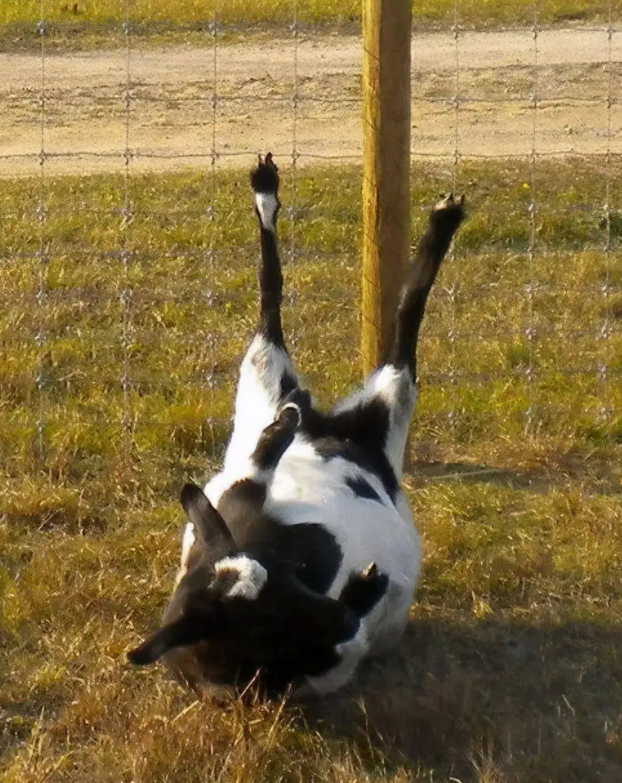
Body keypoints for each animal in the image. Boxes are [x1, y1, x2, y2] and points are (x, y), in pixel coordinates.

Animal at [129, 155, 466, 700]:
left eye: (286, 577)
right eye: (265, 624)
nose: (340, 616)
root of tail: (335, 425)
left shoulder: (233, 502)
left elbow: (260, 460)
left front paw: (281, 429)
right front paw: (364, 589)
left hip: (263, 376)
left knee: (272, 301)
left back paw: (267, 189)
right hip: (381, 395)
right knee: (402, 323)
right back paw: (443, 221)